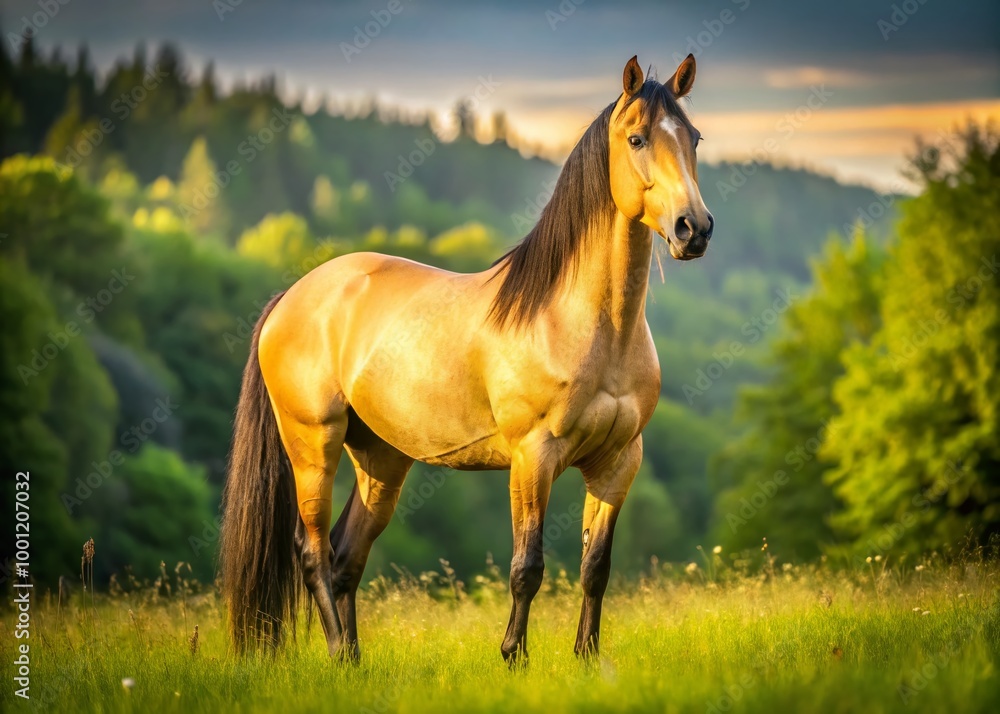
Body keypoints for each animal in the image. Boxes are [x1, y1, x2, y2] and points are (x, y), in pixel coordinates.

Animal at [219, 53, 713, 665]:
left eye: (694, 137)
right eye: (638, 138)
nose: (694, 228)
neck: (584, 324)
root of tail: (290, 297)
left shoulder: (618, 462)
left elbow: (595, 568)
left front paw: (586, 659)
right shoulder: (533, 458)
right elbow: (527, 568)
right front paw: (513, 658)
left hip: (380, 460)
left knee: (345, 558)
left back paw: (354, 662)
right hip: (313, 443)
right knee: (311, 552)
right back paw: (339, 654)